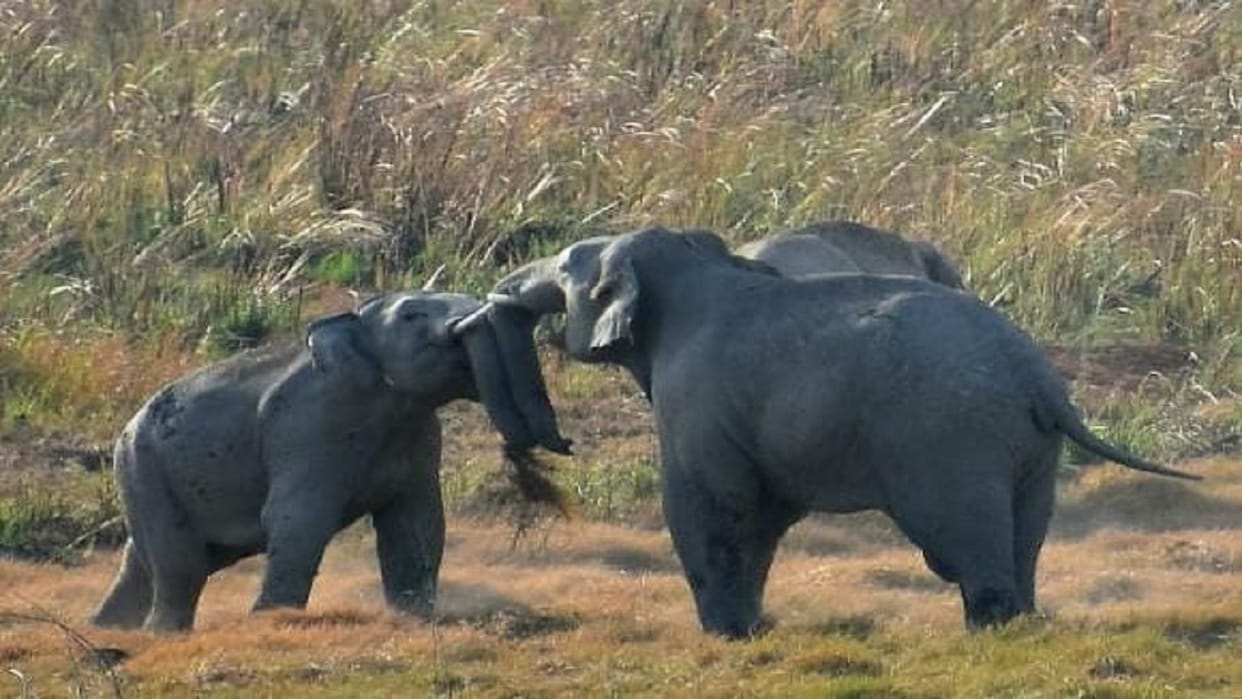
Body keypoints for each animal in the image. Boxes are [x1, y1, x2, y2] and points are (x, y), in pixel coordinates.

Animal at [92, 287, 570, 632]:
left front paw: (415, 613)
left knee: (142, 560)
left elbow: (416, 521)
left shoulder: (419, 436)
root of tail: (125, 430)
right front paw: (270, 618)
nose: (564, 443)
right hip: (142, 470)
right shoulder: (309, 428)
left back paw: (106, 628)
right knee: (181, 563)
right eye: (411, 315)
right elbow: (298, 518)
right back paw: (161, 633)